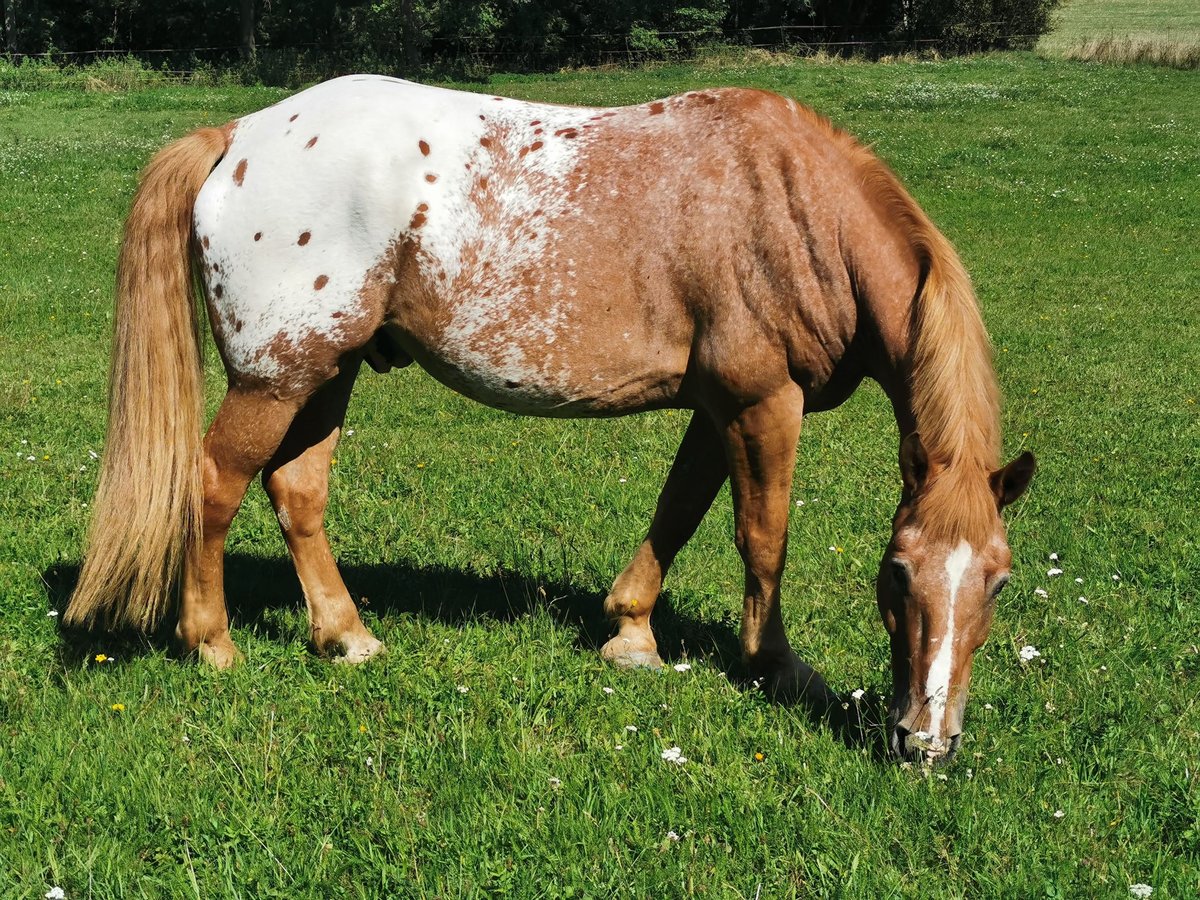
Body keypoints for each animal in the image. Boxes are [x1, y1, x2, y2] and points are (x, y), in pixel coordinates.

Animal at [65, 75, 1036, 763]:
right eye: (898, 574)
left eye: (997, 583)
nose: (926, 744)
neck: (795, 205)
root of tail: (238, 137)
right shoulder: (763, 401)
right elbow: (763, 538)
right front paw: (776, 667)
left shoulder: (717, 406)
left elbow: (678, 514)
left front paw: (632, 633)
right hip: (276, 380)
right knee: (214, 484)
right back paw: (213, 644)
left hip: (324, 372)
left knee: (296, 492)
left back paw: (345, 635)